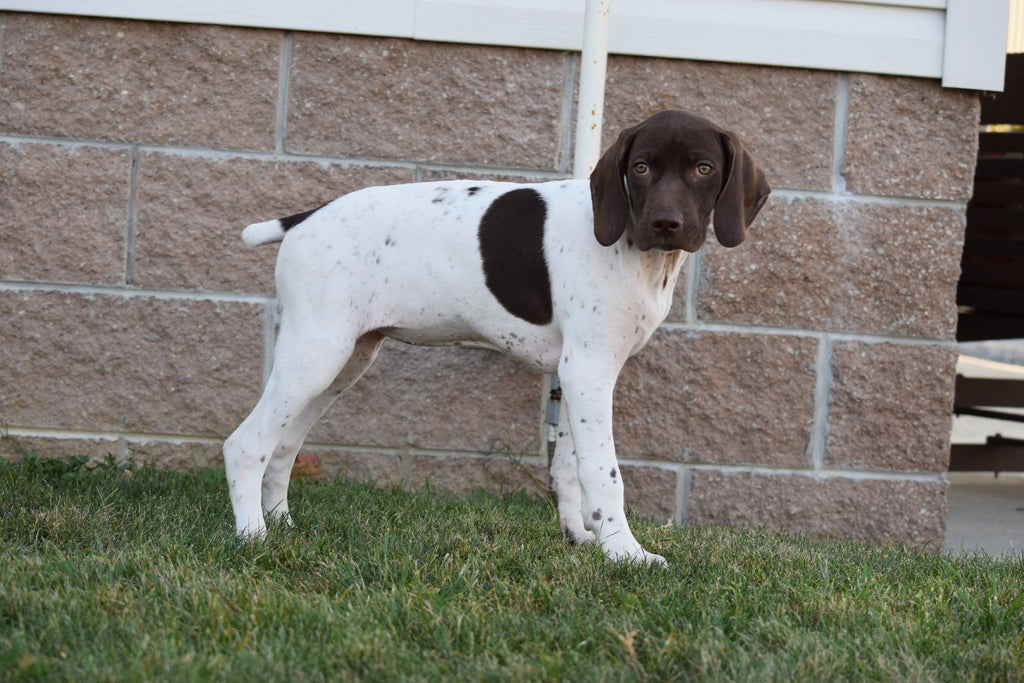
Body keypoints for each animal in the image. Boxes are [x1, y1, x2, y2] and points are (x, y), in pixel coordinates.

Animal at [224, 108, 770, 565]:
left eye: (703, 169)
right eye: (640, 168)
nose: (665, 223)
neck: (637, 252)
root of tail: (305, 218)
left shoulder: (579, 376)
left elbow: (569, 469)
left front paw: (582, 537)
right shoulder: (589, 370)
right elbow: (604, 474)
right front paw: (625, 553)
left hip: (341, 364)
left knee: (284, 446)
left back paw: (283, 525)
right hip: (315, 353)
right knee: (246, 444)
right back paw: (253, 537)